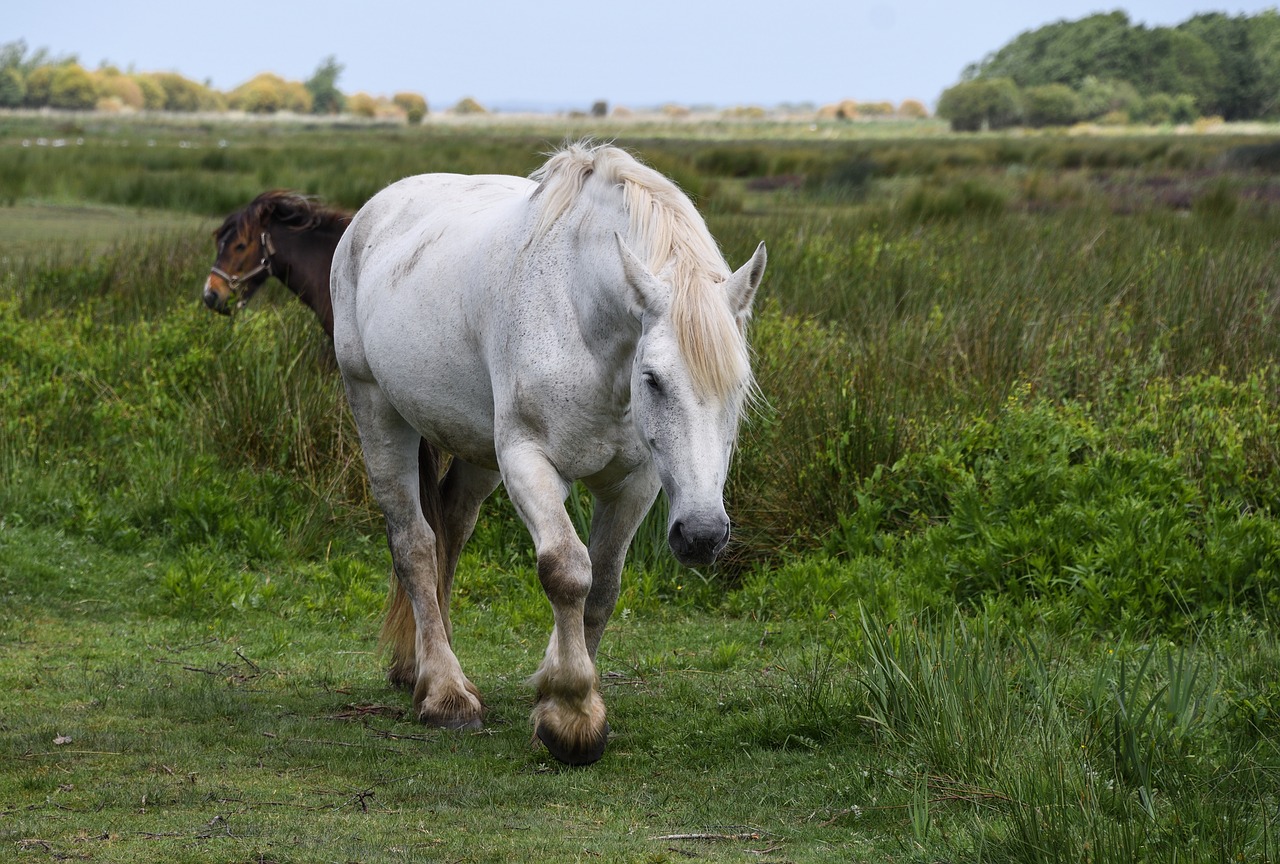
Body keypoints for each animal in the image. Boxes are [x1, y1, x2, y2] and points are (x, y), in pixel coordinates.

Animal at [335, 142, 762, 762]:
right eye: (653, 379)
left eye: (739, 384)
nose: (702, 535)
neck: (583, 321)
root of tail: (372, 212)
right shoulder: (529, 463)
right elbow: (565, 569)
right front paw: (571, 716)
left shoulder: (634, 482)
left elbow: (602, 585)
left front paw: (561, 695)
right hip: (377, 412)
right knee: (414, 544)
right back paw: (445, 693)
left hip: (475, 449)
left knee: (451, 530)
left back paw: (421, 666)